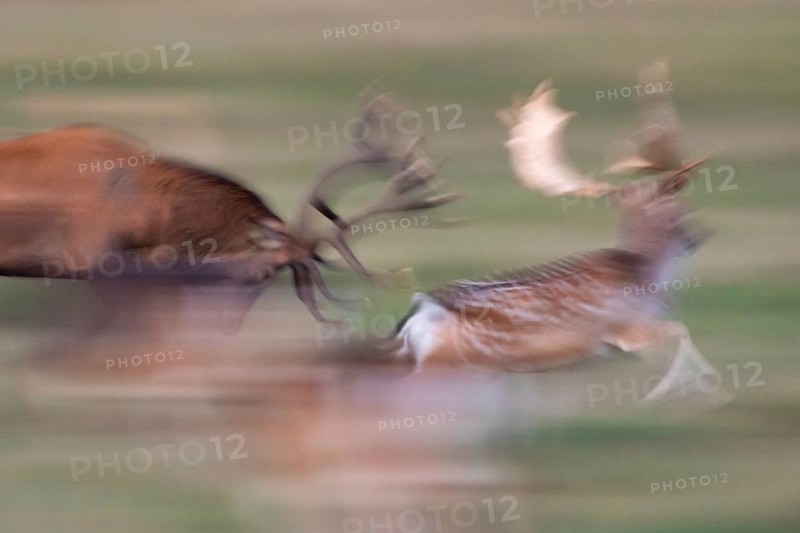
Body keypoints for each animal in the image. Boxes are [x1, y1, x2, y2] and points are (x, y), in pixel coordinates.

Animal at [389, 62, 724, 403]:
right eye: (683, 208)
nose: (700, 235)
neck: (650, 277)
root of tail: (418, 315)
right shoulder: (629, 326)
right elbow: (679, 332)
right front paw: (687, 392)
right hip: (449, 363)